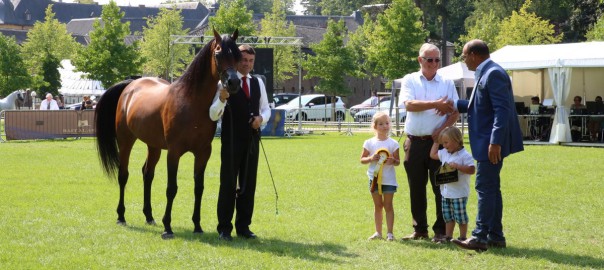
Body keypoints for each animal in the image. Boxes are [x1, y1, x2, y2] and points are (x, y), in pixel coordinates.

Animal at [95, 29, 242, 238]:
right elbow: (171, 188)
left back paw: (149, 216)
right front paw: (168, 227)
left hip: (154, 146)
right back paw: (121, 216)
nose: (233, 82)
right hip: (125, 141)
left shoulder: (203, 153)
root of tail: (131, 85)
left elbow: (199, 188)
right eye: (218, 53)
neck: (191, 102)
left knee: (147, 174)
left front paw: (197, 226)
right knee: (123, 175)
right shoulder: (174, 152)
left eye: (237, 55)